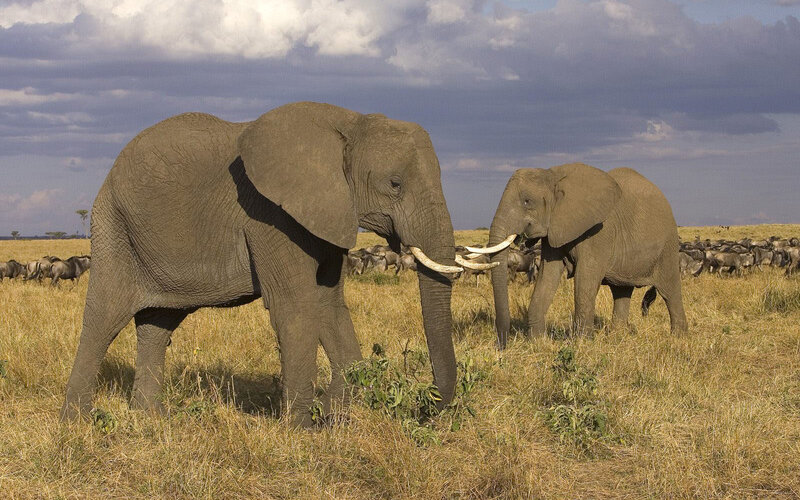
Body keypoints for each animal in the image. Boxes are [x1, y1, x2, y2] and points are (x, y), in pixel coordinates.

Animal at [61, 102, 464, 427]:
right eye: (394, 184)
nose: (428, 408)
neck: (350, 123)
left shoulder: (326, 215)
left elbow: (329, 306)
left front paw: (335, 417)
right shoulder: (269, 217)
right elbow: (295, 308)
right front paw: (302, 430)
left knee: (158, 325)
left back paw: (153, 419)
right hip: (113, 226)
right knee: (104, 318)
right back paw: (77, 424)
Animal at [473, 163, 687, 348]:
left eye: (527, 201)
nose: (501, 346)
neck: (553, 175)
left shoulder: (600, 231)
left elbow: (586, 278)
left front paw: (582, 344)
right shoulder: (555, 227)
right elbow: (547, 276)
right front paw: (538, 342)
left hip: (667, 245)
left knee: (670, 291)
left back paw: (678, 338)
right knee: (621, 291)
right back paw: (618, 336)